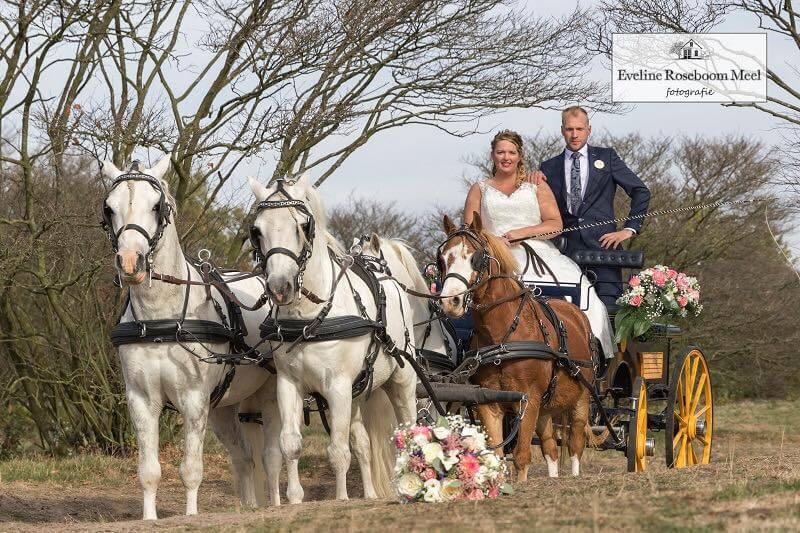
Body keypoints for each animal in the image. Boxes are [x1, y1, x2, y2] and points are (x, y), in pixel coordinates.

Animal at [100, 156, 300, 516]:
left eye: (156, 206)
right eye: (110, 208)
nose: (131, 262)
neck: (162, 318)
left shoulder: (193, 399)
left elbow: (191, 469)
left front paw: (191, 514)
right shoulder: (141, 399)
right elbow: (148, 471)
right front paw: (148, 517)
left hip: (271, 397)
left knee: (273, 457)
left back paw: (282, 502)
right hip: (221, 407)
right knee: (244, 457)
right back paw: (249, 506)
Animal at [247, 174, 416, 498]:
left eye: (302, 226)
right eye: (257, 230)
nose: (279, 288)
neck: (307, 318)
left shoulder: (337, 386)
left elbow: (338, 452)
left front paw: (341, 498)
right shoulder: (288, 384)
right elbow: (290, 444)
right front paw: (294, 499)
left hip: (402, 382)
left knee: (410, 430)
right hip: (358, 393)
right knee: (363, 444)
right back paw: (371, 494)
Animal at [438, 214, 600, 480]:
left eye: (475, 257)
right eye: (441, 259)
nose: (451, 302)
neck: (504, 339)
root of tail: (576, 313)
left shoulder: (528, 399)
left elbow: (522, 455)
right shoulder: (489, 403)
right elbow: (497, 456)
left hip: (581, 399)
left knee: (575, 444)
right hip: (546, 408)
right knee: (550, 447)